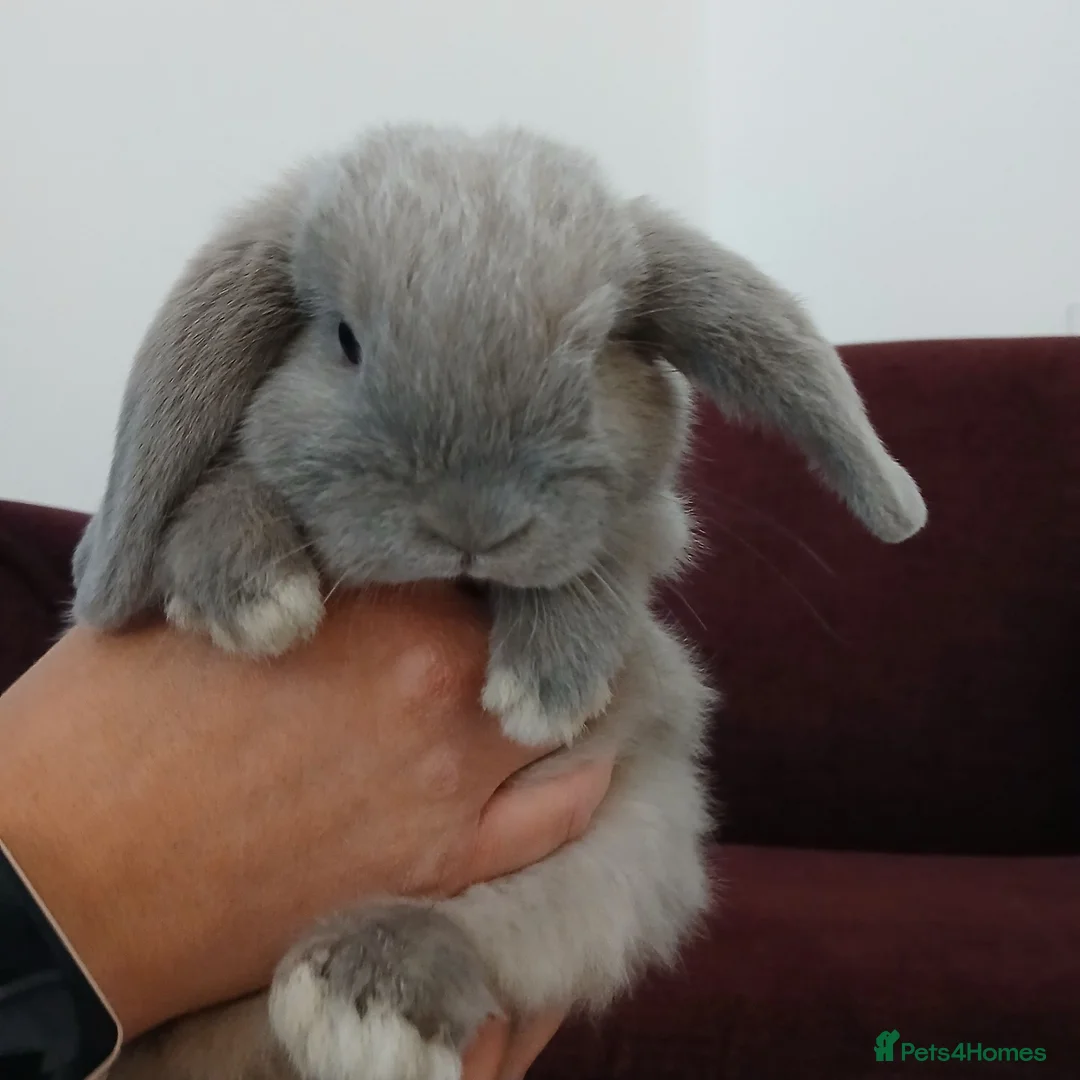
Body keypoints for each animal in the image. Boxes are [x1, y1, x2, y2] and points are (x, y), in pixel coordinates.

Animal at [71, 124, 927, 1080]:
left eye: (593, 349)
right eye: (346, 341)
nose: (473, 523)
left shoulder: (642, 537)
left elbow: (602, 565)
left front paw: (543, 688)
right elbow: (224, 485)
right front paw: (253, 598)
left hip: (622, 850)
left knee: (501, 938)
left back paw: (361, 1003)